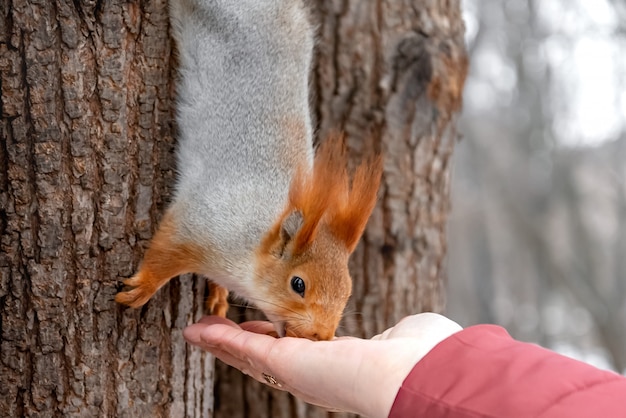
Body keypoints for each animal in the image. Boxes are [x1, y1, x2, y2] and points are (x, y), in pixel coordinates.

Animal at [115, 0, 382, 342]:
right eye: (298, 284)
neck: (253, 242)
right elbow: (165, 250)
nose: (321, 336)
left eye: (347, 291)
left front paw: (217, 294)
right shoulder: (202, 221)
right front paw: (143, 287)